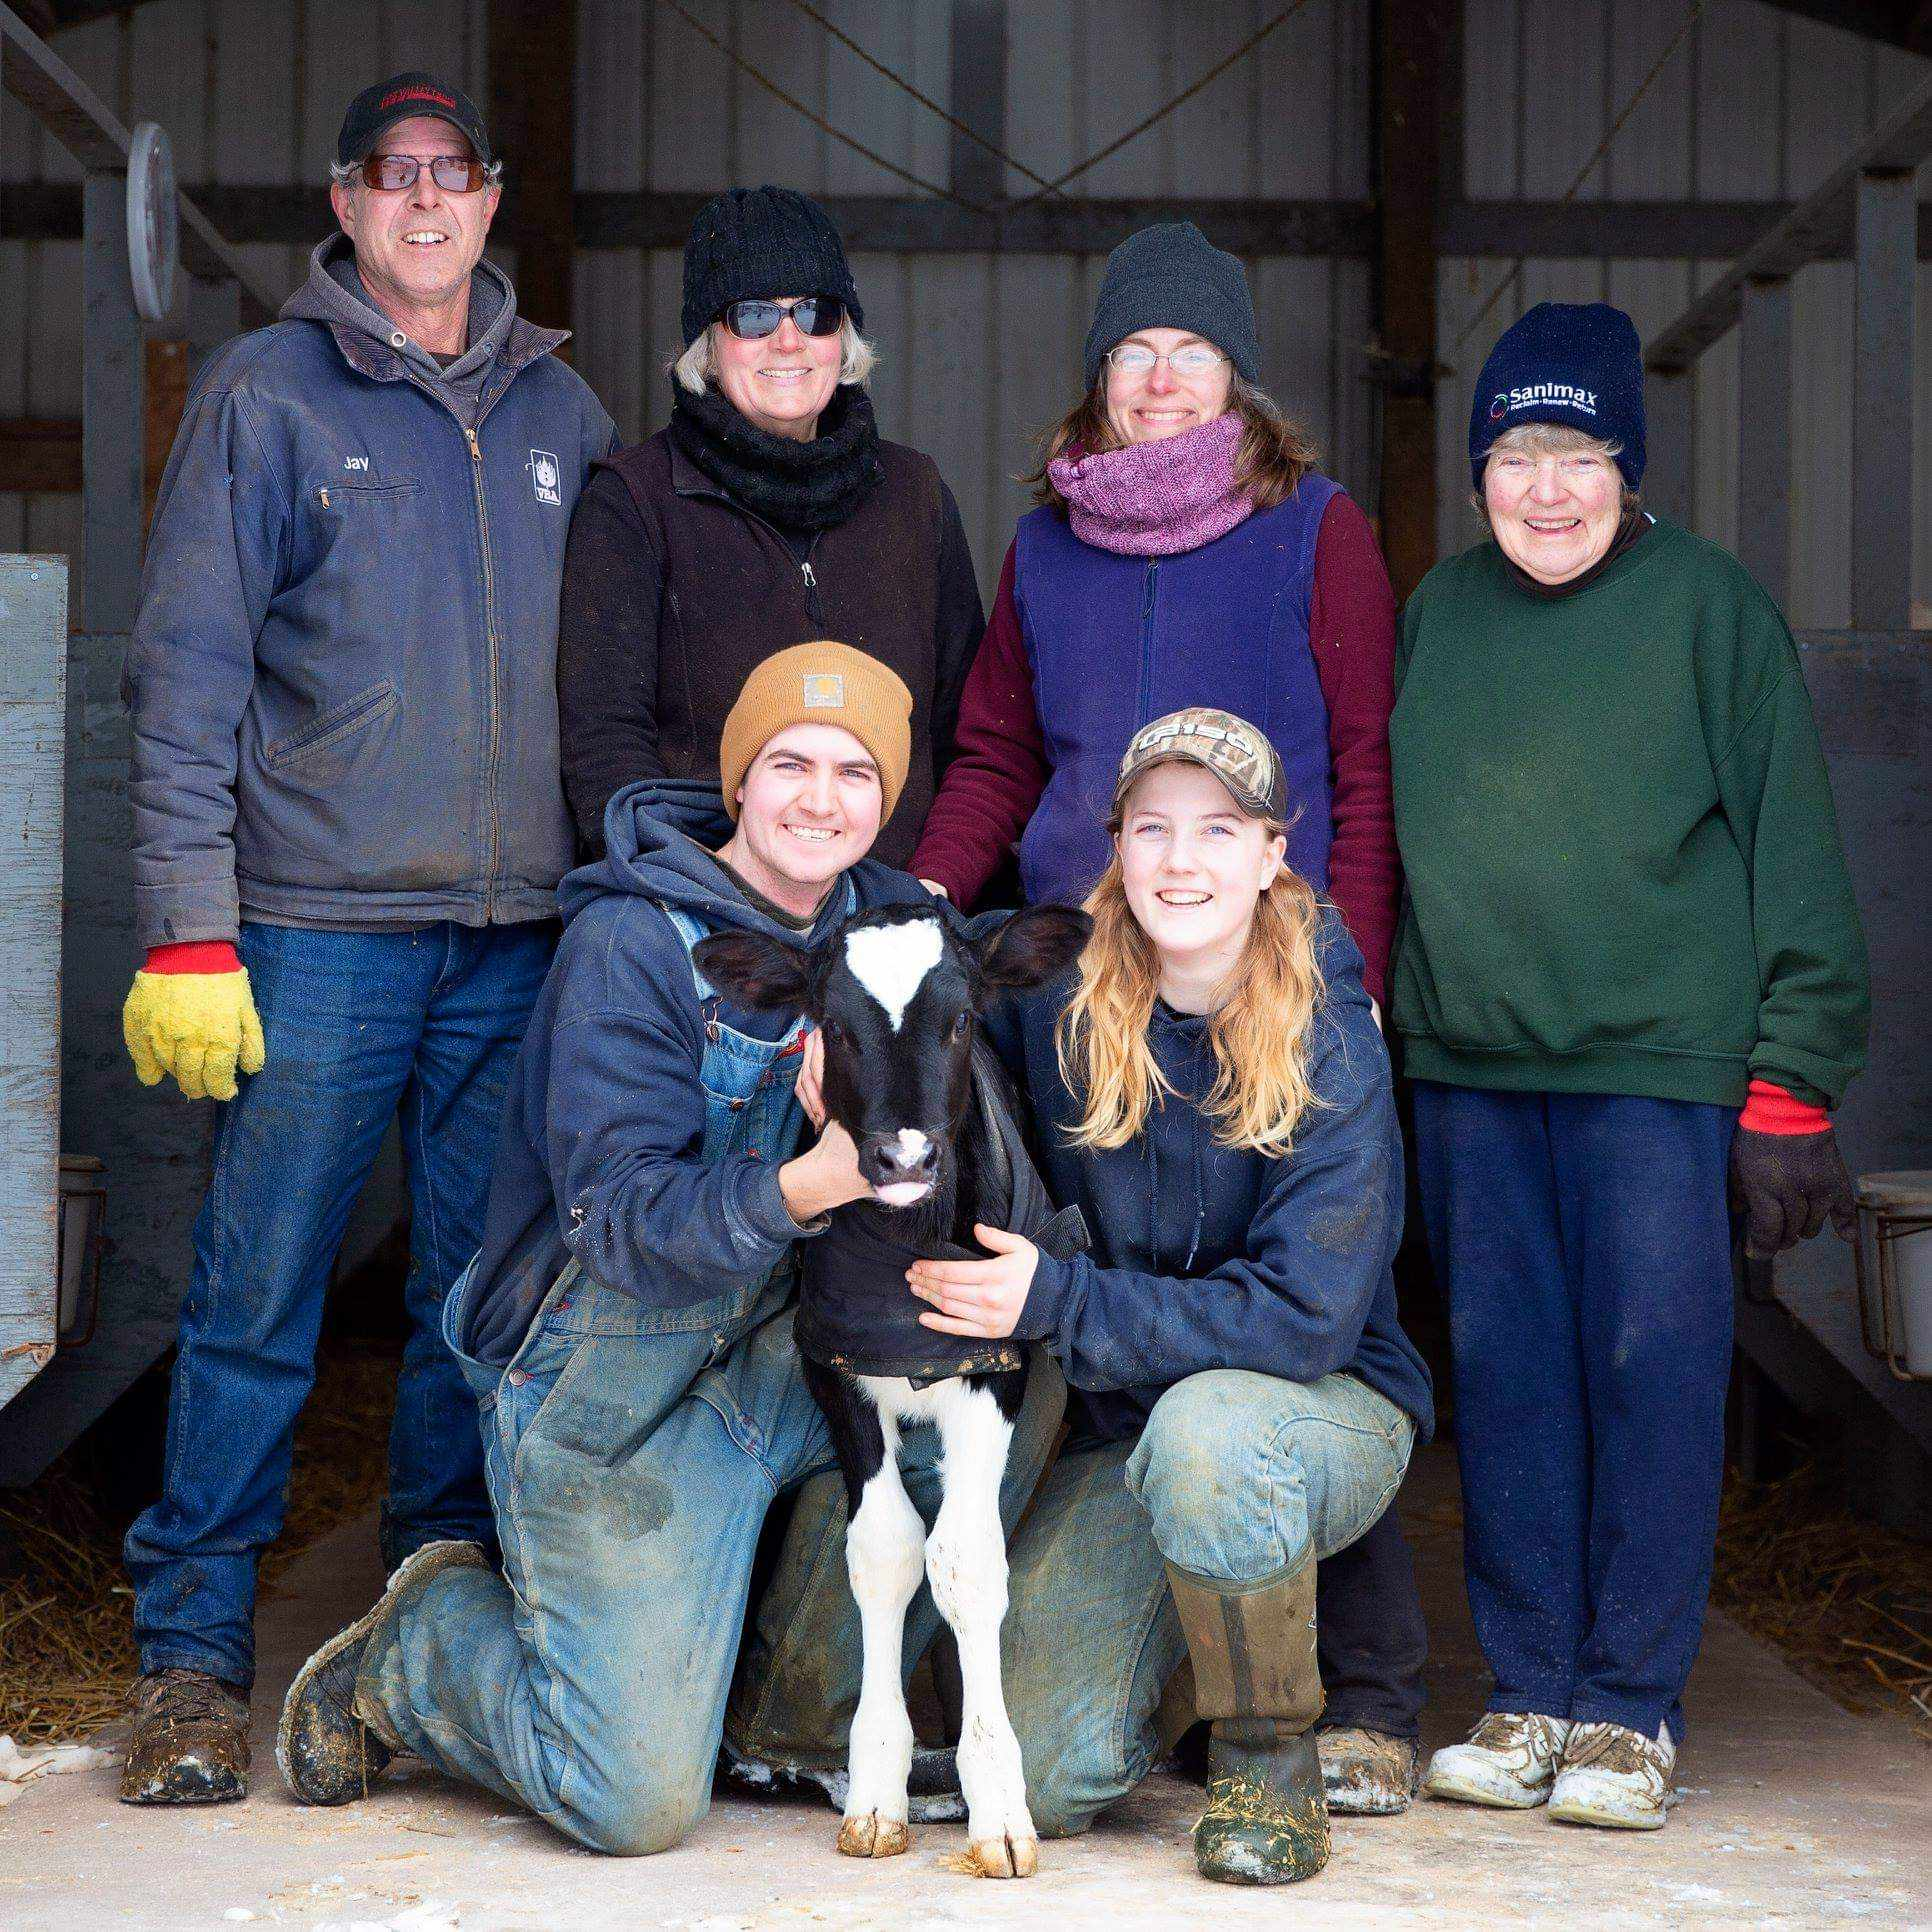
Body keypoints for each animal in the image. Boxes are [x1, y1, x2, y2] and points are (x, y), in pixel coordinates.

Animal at [695, 908, 1089, 1885]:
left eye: (962, 1020)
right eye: (833, 1026)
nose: (904, 1154)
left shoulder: (995, 1358)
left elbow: (966, 1559)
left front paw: (999, 1807)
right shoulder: (831, 1365)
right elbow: (882, 1549)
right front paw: (877, 1790)